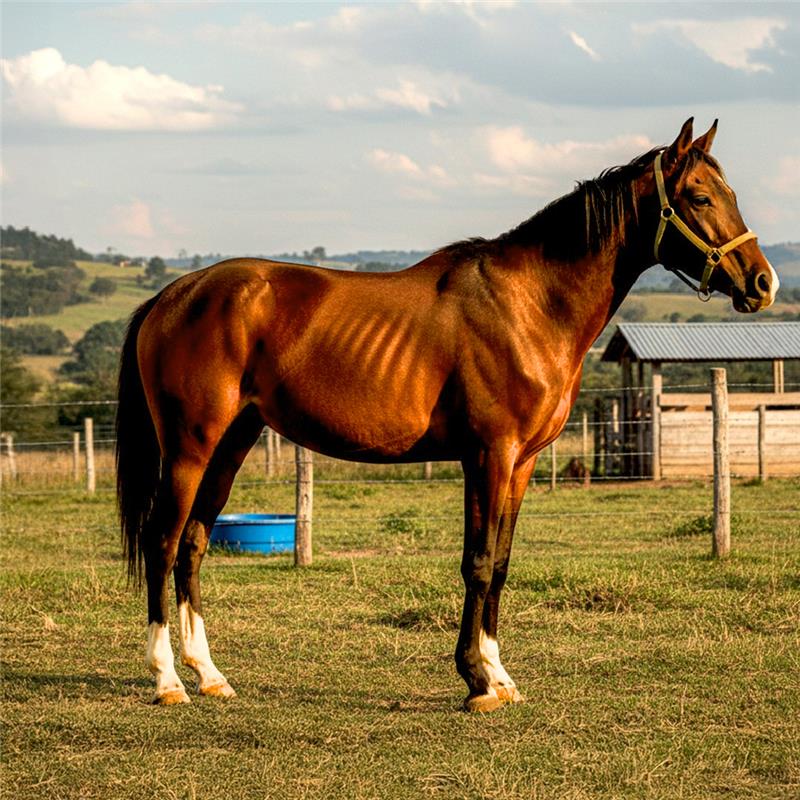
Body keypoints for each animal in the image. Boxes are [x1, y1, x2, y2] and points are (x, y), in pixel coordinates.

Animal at [116, 118, 778, 712]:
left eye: (730, 195)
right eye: (699, 197)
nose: (763, 283)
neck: (530, 304)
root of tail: (173, 294)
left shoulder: (521, 464)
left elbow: (501, 563)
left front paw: (500, 676)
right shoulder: (488, 455)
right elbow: (477, 562)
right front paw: (476, 682)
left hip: (231, 443)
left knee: (193, 545)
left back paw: (210, 675)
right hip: (190, 447)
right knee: (162, 541)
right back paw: (168, 680)